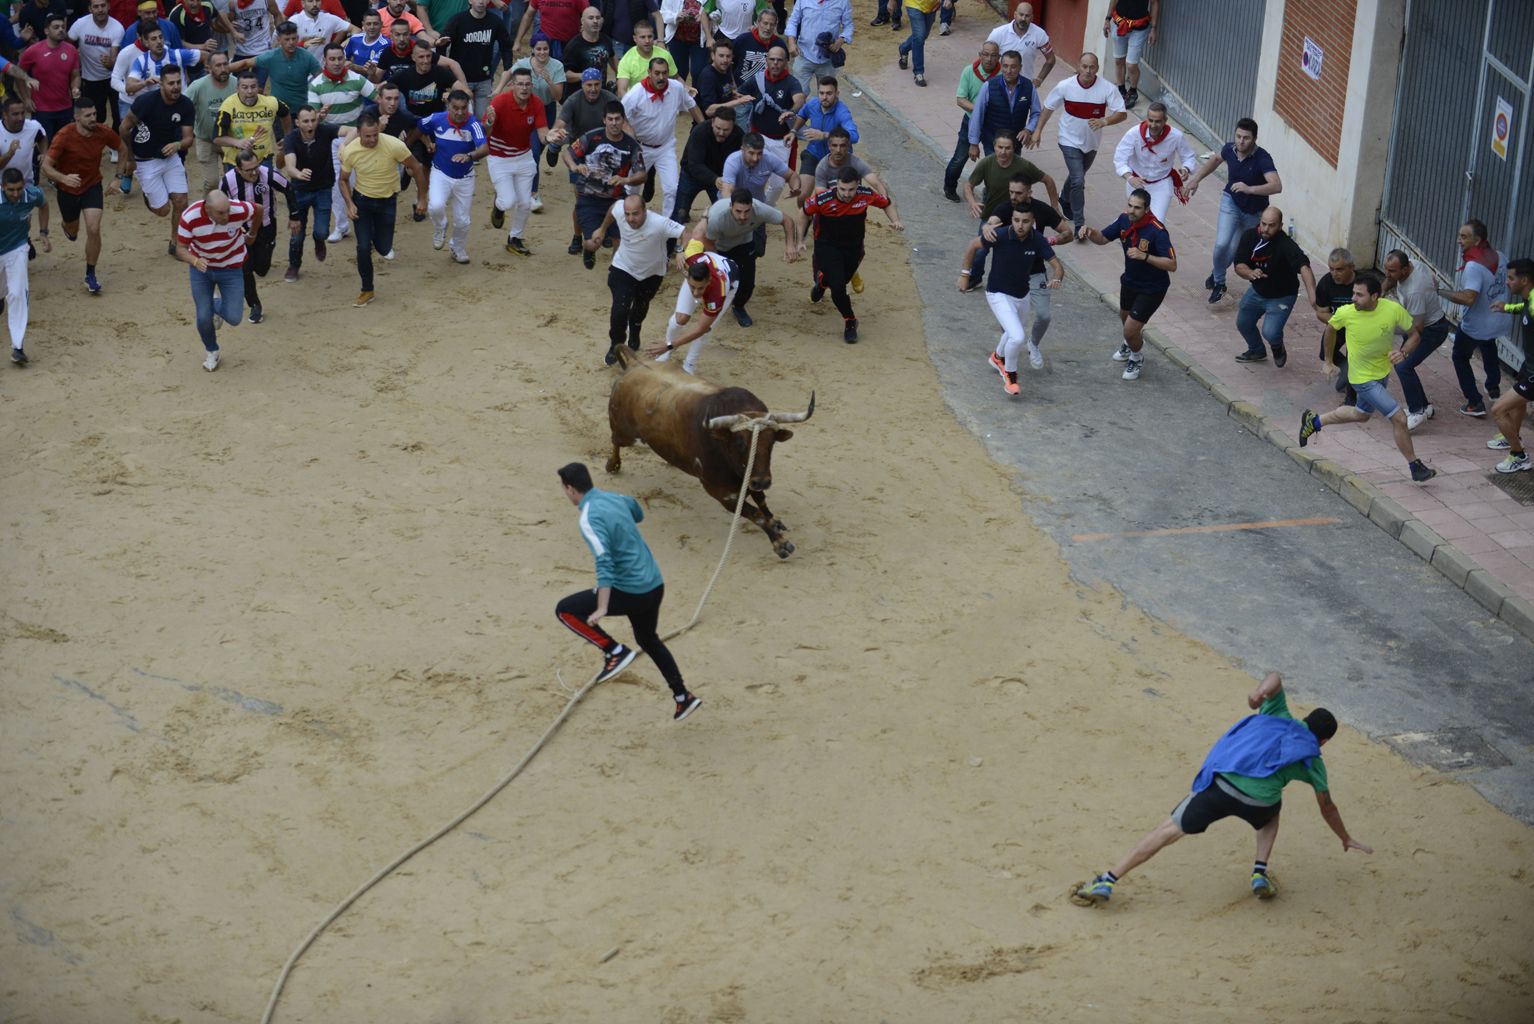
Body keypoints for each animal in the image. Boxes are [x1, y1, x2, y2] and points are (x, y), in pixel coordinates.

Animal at [604, 352, 816, 561]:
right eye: (740, 443)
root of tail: (634, 363)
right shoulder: (721, 493)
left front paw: (775, 522)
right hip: (626, 432)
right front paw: (780, 544)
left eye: (772, 442)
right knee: (615, 441)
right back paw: (613, 465)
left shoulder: (750, 480)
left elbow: (761, 501)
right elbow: (756, 514)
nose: (763, 481)